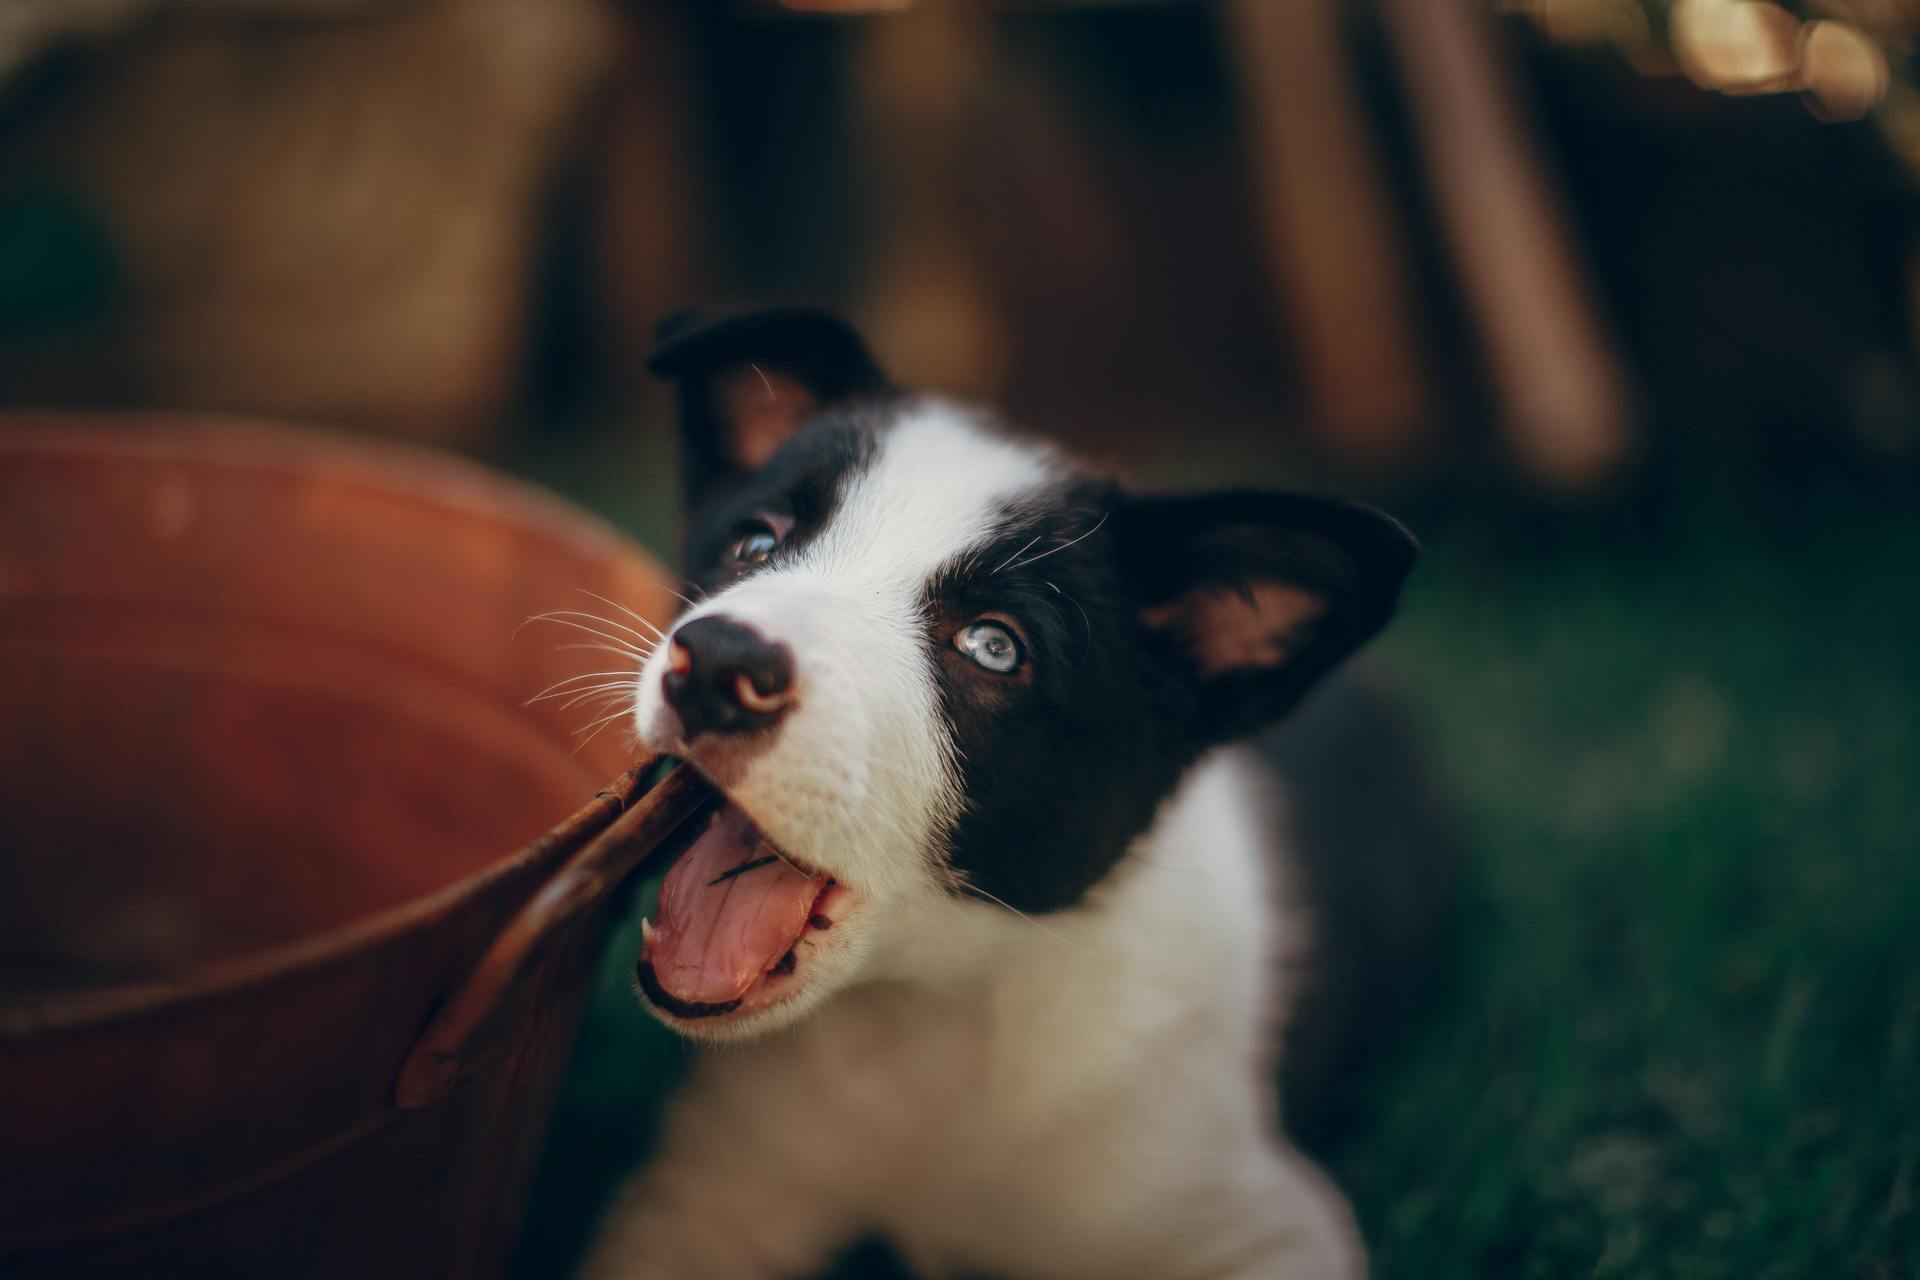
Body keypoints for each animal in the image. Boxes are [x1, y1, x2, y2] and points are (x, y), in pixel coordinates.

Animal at [579, 305, 1413, 1274]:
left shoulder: (1262, 1219)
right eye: (757, 542)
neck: (933, 1017)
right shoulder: (702, 1196)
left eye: (994, 645)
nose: (717, 665)